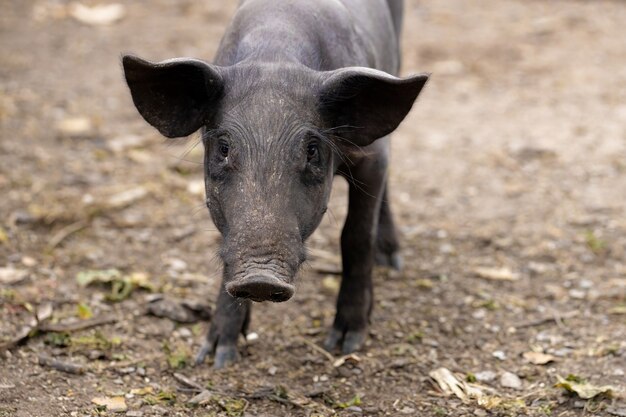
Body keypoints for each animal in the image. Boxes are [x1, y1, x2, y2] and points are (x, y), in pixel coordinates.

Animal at [122, 0, 426, 368]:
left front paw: (343, 343)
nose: (260, 279)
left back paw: (391, 262)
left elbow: (354, 236)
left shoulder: (371, 157)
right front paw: (215, 357)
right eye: (224, 148)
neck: (276, 51)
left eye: (311, 150)